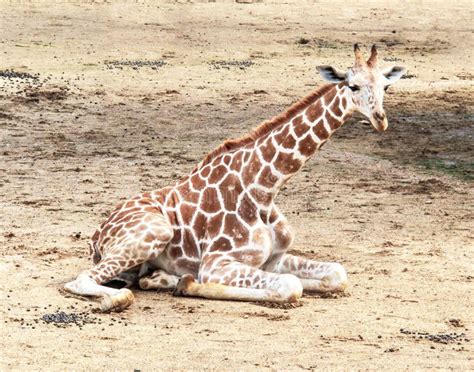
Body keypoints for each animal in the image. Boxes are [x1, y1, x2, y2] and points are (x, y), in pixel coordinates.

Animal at [65, 44, 406, 310]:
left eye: (386, 87)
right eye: (352, 86)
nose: (380, 120)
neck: (265, 188)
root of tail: (97, 233)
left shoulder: (274, 258)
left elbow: (336, 274)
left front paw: (177, 281)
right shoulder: (217, 263)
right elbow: (290, 285)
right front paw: (190, 284)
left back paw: (162, 278)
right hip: (155, 231)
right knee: (80, 281)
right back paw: (127, 296)